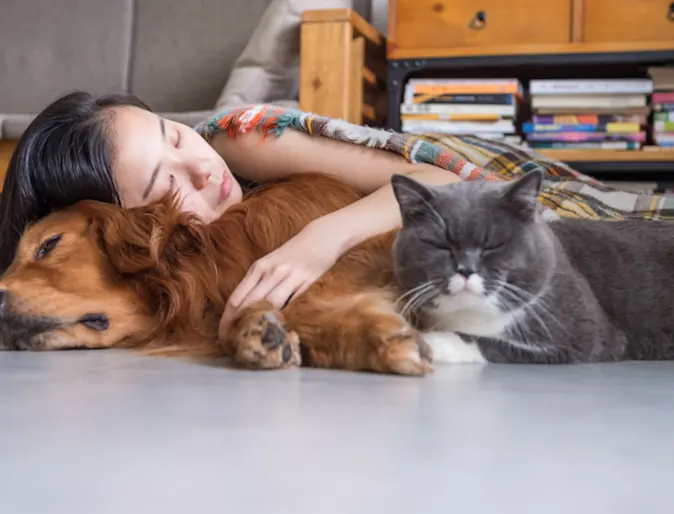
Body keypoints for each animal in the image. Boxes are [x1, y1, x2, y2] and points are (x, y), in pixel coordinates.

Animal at [392, 170, 674, 362]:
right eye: (441, 245)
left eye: (492, 245)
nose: (465, 269)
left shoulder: (587, 336)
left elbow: (494, 345)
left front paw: (428, 342)